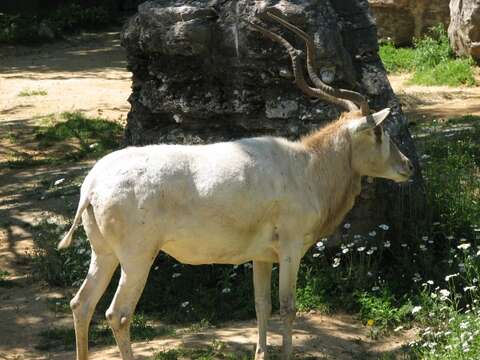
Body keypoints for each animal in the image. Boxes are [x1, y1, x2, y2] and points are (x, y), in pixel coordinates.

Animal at [59, 11, 412, 360]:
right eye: (379, 132)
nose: (407, 166)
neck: (308, 167)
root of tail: (92, 185)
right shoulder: (290, 248)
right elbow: (287, 307)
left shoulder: (262, 256)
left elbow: (261, 305)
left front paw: (260, 353)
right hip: (137, 256)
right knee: (117, 314)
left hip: (104, 253)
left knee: (81, 304)